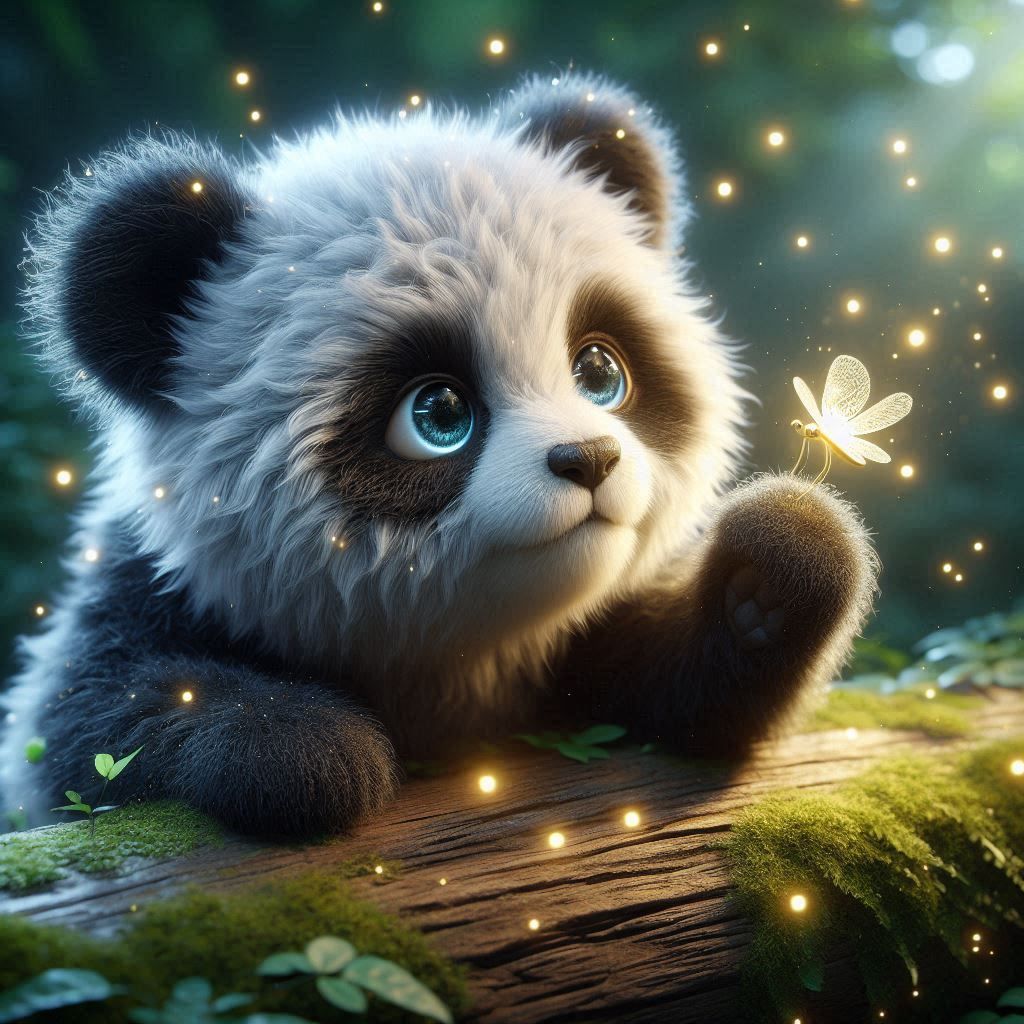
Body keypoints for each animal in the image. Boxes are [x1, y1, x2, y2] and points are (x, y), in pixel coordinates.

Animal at [2, 73, 877, 836]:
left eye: (600, 371)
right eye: (438, 413)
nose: (589, 460)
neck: (457, 660)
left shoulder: (571, 656)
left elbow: (676, 701)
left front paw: (778, 561)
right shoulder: (159, 588)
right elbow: (86, 723)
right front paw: (303, 747)